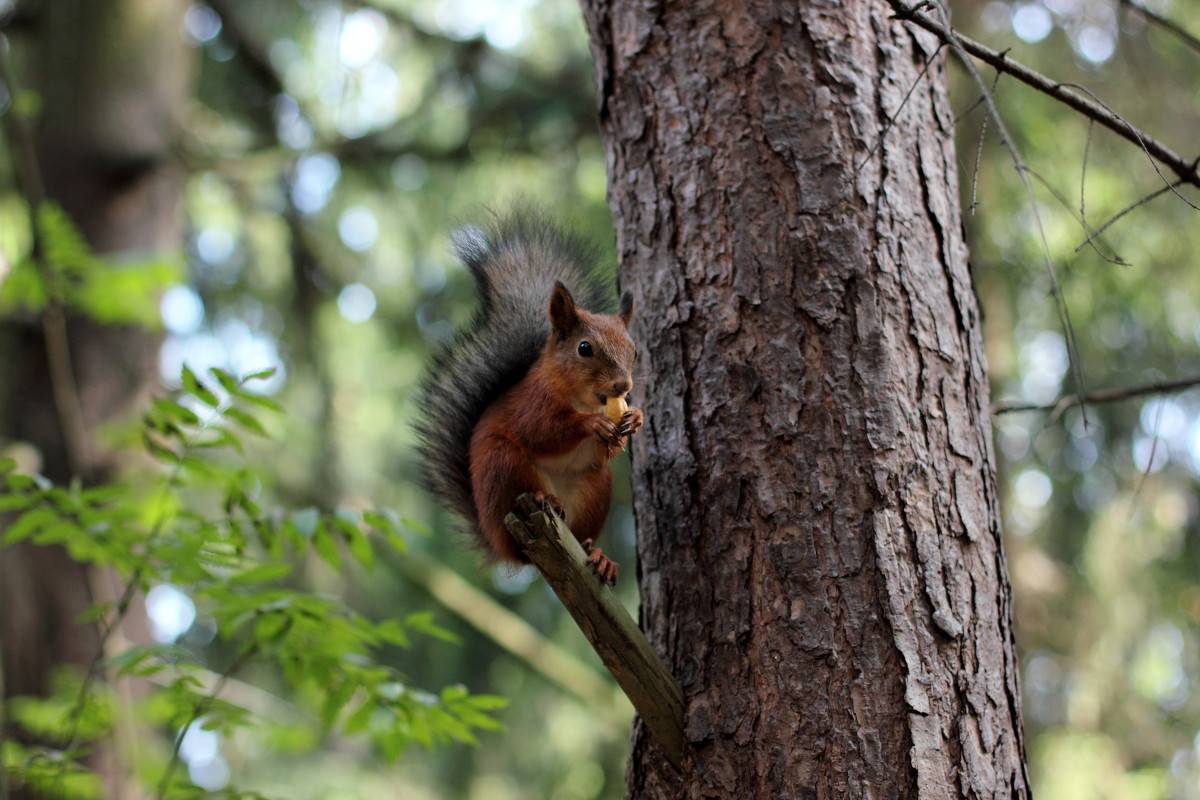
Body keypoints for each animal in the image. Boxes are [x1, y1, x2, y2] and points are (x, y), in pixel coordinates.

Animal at [412, 209, 643, 585]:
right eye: (584, 348)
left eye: (634, 351)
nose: (623, 386)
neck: (583, 399)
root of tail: (494, 538)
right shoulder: (531, 403)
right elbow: (542, 431)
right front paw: (591, 424)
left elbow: (607, 450)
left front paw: (634, 419)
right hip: (503, 464)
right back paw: (542, 497)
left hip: (596, 488)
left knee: (583, 536)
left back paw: (597, 554)